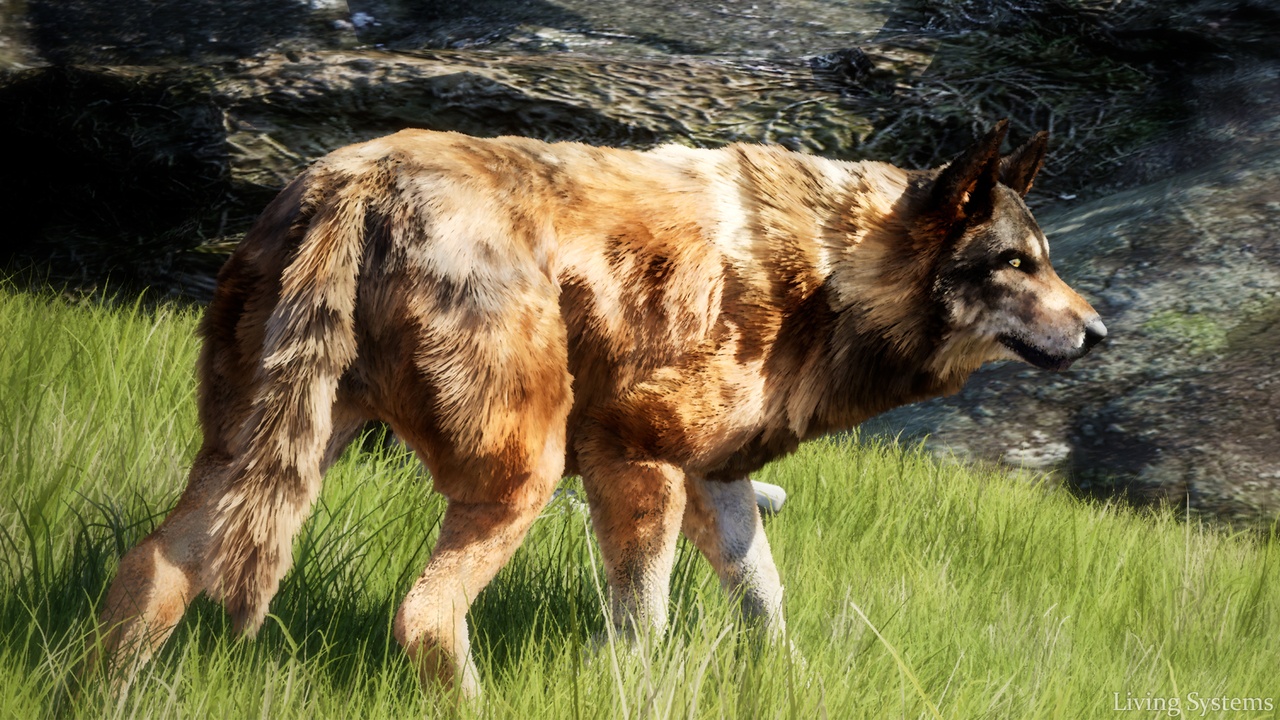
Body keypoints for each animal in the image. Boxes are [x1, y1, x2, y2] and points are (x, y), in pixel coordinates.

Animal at [93, 119, 1104, 696]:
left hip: (251, 461)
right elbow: (642, 632)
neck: (829, 275)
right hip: (523, 483)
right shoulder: (641, 471)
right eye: (1016, 263)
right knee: (424, 617)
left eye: (1046, 259)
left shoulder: (716, 484)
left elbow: (767, 606)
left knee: (150, 570)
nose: (1099, 334)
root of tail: (360, 182)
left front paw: (793, 687)